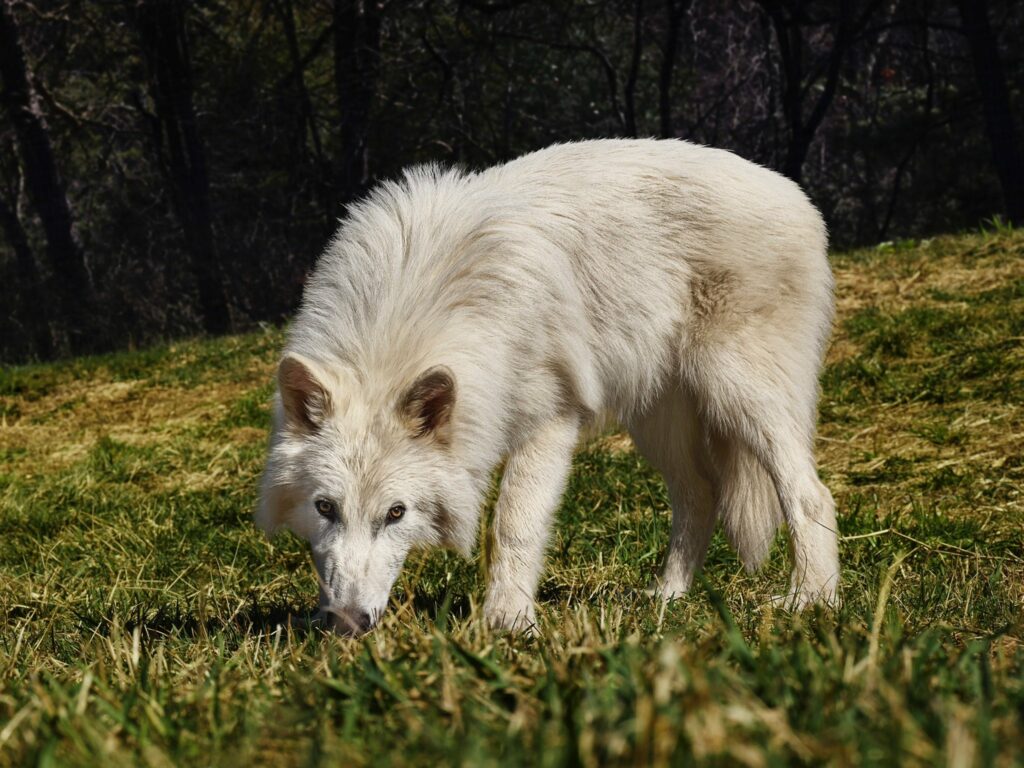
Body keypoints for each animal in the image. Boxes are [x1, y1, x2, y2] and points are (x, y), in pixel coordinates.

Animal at [256, 139, 839, 635]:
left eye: (396, 513)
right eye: (325, 508)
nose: (346, 624)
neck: (413, 309)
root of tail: (795, 195)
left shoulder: (551, 422)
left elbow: (513, 523)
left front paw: (509, 622)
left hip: (740, 396)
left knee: (810, 493)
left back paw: (811, 599)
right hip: (658, 424)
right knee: (701, 495)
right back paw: (668, 597)